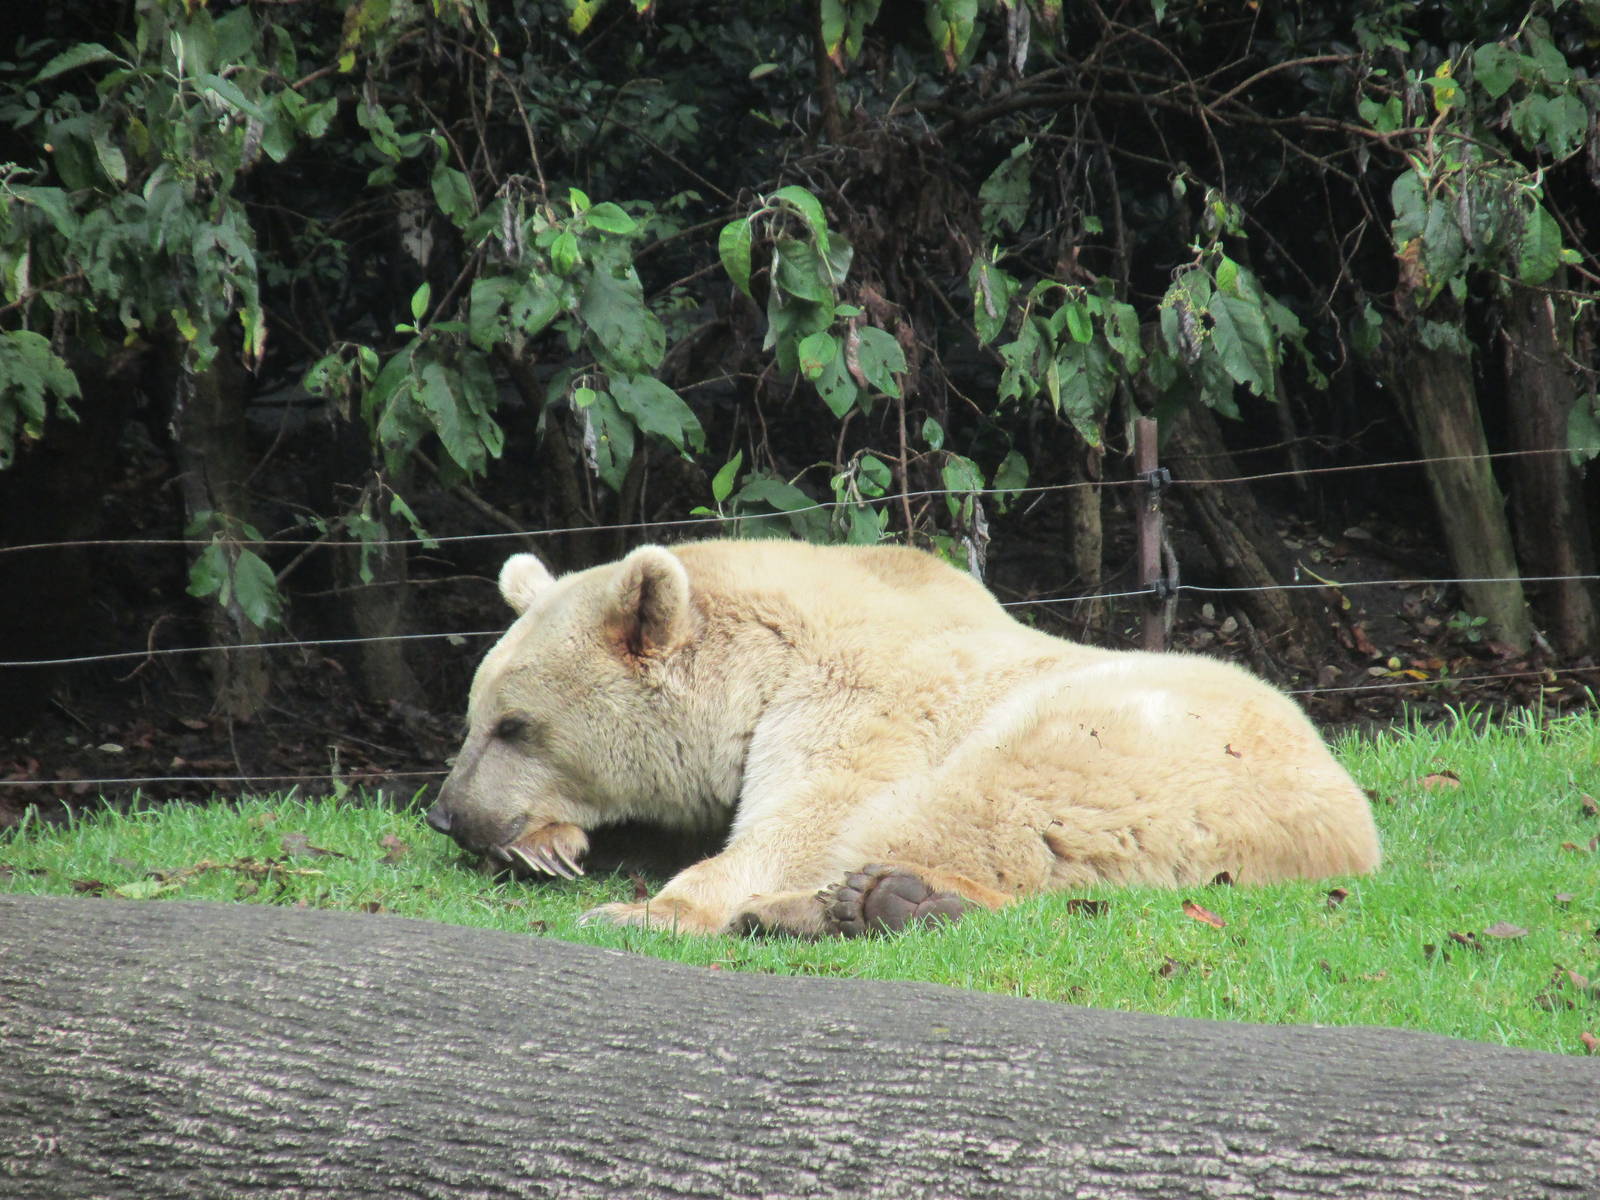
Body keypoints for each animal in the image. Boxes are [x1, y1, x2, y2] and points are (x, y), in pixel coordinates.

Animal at [425, 539, 1380, 936]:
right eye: (472, 717)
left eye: (514, 724)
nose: (445, 815)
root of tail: (1348, 834)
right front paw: (548, 846)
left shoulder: (856, 696)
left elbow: (807, 819)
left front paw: (640, 908)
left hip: (1131, 742)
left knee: (977, 810)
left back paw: (858, 903)